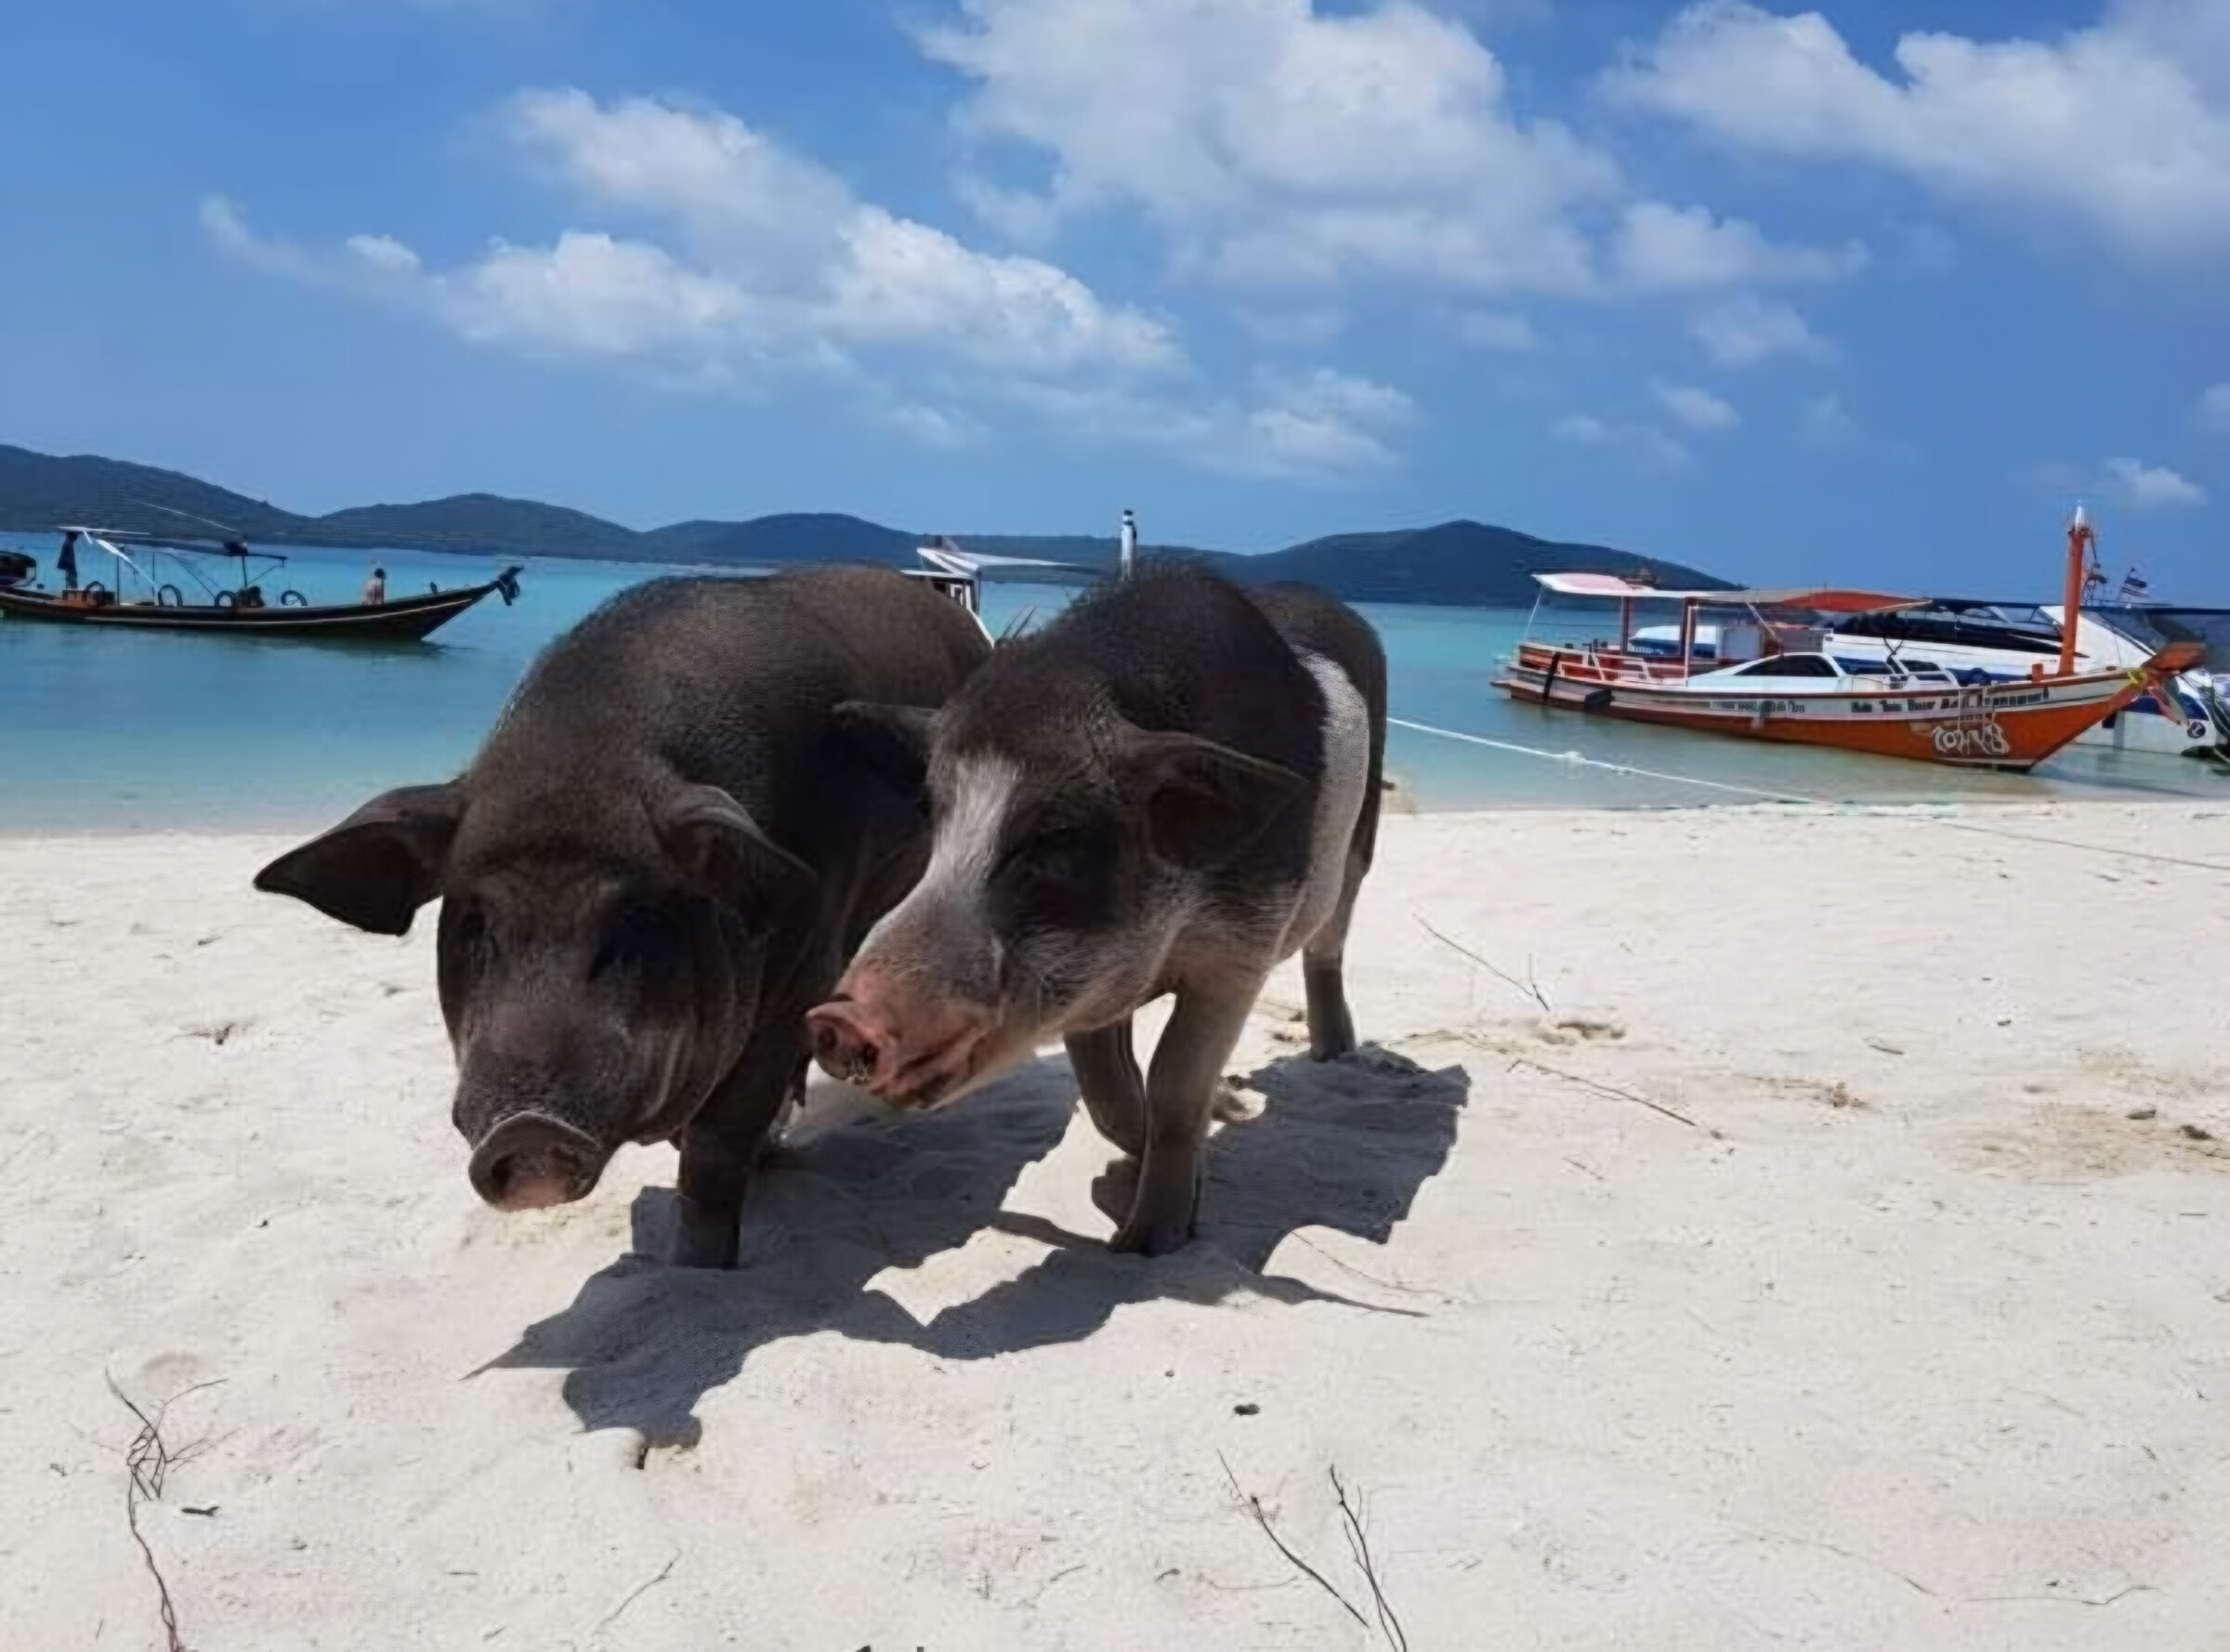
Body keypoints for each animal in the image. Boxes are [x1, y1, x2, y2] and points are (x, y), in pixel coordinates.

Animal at [252, 565, 990, 1268]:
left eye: (634, 917)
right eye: (474, 924)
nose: (527, 1129)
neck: (586, 764)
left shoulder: (806, 960)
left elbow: (715, 1154)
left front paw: (698, 1270)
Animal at [807, 562, 1385, 1256]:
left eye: (1057, 836)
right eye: (930, 811)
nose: (839, 1018)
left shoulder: (1243, 946)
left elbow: (1174, 1086)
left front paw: (1149, 1243)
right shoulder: (1086, 986)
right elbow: (1107, 1092)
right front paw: (1139, 1177)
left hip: (1360, 845)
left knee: (1330, 941)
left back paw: (1335, 1053)